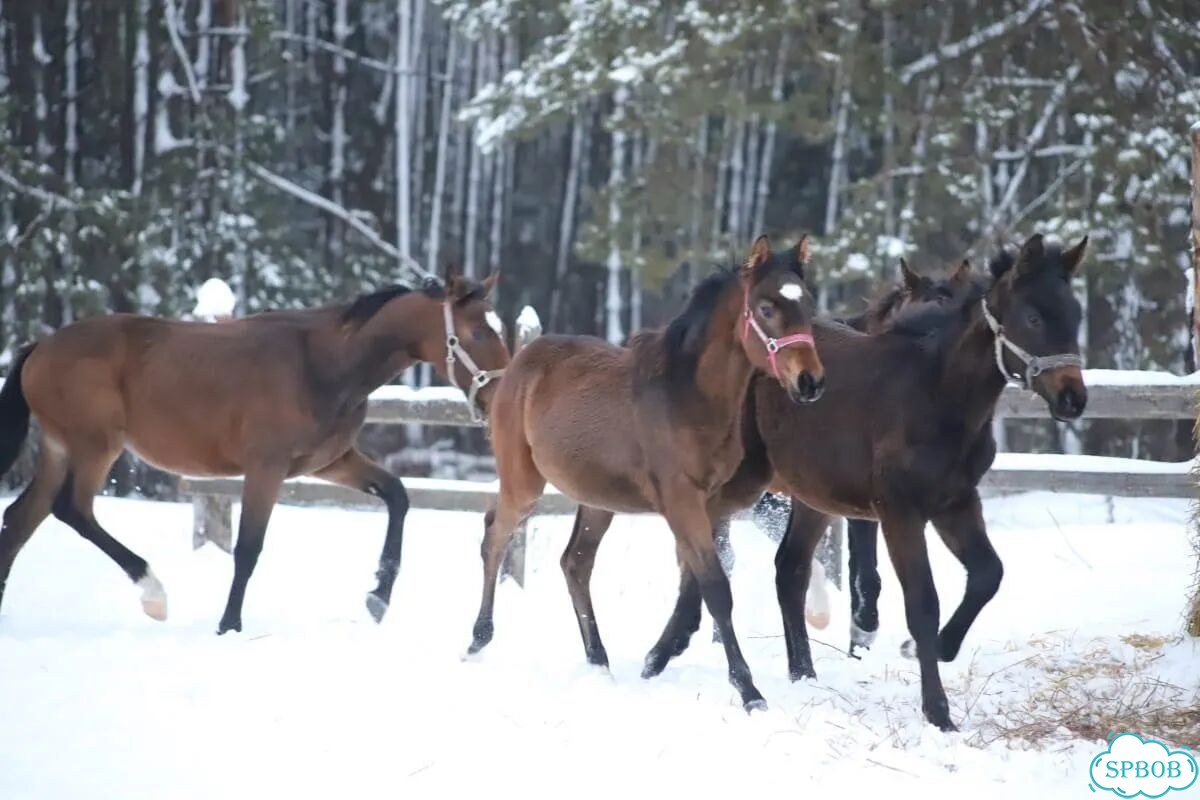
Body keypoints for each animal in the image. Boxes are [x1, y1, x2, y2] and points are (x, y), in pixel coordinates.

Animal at [0, 271, 509, 634]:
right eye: (480, 332)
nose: (500, 394)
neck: (323, 364)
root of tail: (40, 348)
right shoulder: (266, 468)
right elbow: (248, 548)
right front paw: (229, 625)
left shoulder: (330, 462)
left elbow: (398, 494)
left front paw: (378, 597)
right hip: (93, 447)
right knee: (72, 510)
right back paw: (154, 594)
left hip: (60, 450)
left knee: (20, 521)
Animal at [467, 235, 825, 711]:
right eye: (766, 308)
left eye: (808, 303)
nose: (810, 381)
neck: (689, 396)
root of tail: (517, 365)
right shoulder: (682, 501)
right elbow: (717, 589)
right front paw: (749, 692)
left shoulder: (712, 506)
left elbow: (700, 585)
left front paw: (661, 658)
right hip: (523, 483)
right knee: (495, 538)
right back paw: (478, 639)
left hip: (597, 500)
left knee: (575, 563)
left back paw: (599, 662)